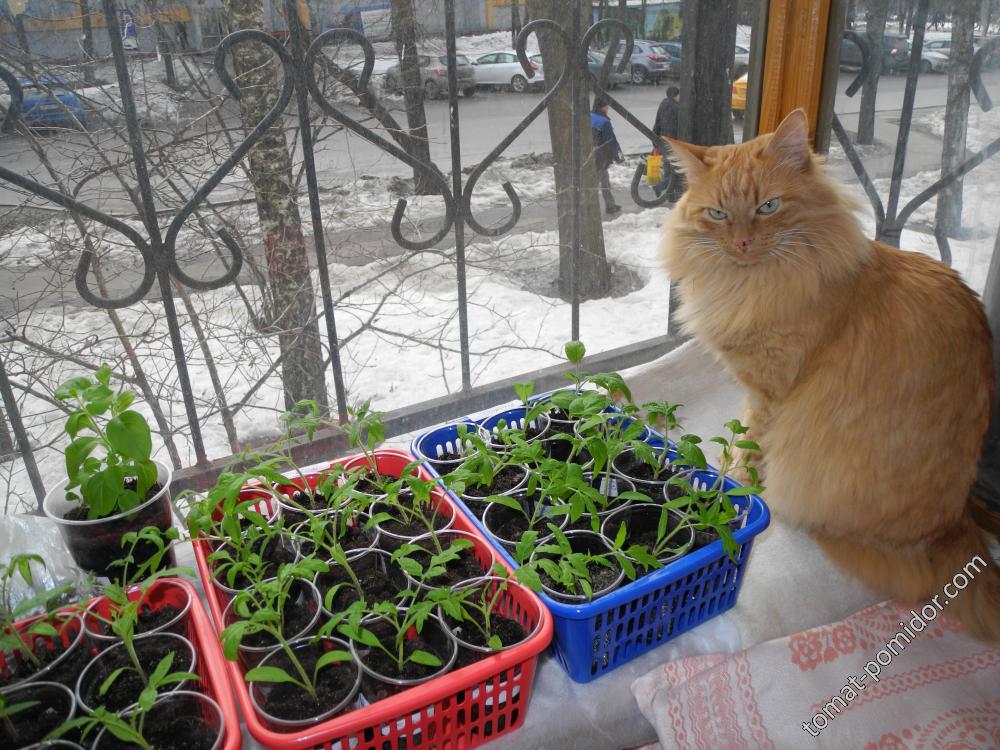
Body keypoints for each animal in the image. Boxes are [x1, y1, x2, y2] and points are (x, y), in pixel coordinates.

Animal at [660, 108, 996, 644]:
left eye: (768, 206)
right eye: (717, 214)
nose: (742, 243)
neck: (751, 282)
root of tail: (955, 522)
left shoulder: (771, 389)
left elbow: (750, 445)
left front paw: (735, 482)